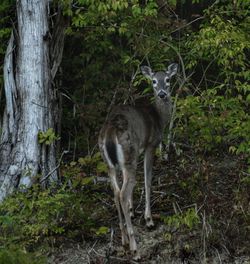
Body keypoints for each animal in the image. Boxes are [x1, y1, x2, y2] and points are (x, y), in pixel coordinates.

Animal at [97, 62, 178, 260]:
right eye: (154, 81)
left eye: (168, 79)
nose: (162, 94)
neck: (159, 118)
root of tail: (109, 132)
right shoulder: (150, 145)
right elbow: (148, 180)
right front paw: (148, 219)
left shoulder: (138, 152)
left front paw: (133, 210)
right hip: (128, 155)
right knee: (122, 192)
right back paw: (135, 249)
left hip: (111, 163)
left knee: (115, 192)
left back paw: (124, 240)